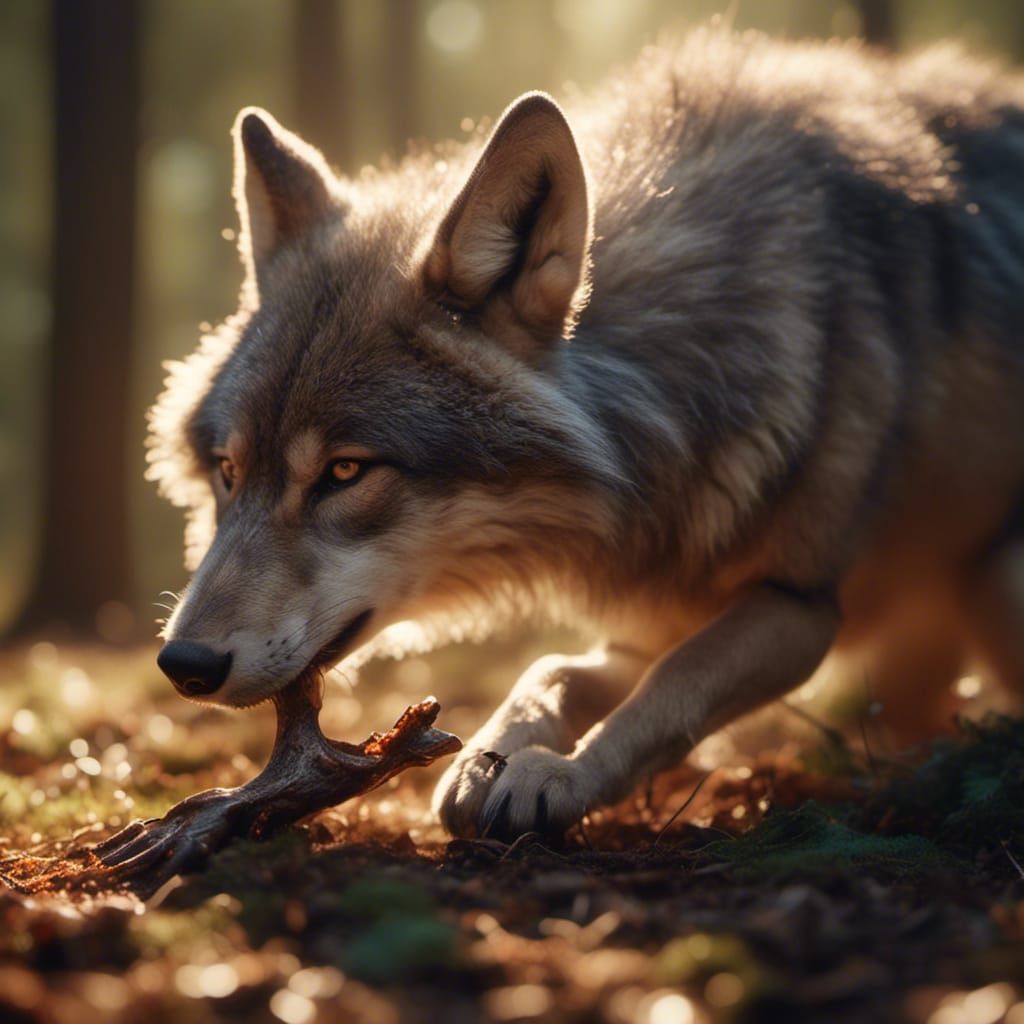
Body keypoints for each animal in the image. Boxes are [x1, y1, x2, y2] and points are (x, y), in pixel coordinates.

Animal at [148, 29, 1024, 841]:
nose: (182, 664)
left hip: (995, 579)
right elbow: (554, 669)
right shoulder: (654, 609)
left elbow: (672, 691)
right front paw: (493, 756)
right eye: (228, 470)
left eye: (344, 472)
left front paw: (555, 776)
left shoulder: (797, 602)